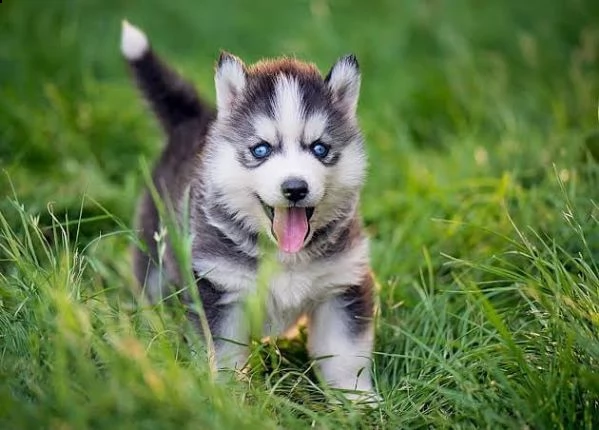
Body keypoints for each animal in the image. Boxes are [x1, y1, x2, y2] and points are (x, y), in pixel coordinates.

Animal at [120, 20, 378, 396]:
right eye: (261, 150)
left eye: (319, 148)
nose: (295, 188)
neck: (286, 255)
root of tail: (197, 120)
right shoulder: (218, 289)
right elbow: (224, 355)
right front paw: (226, 397)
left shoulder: (342, 285)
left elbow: (345, 356)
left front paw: (358, 400)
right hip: (155, 251)